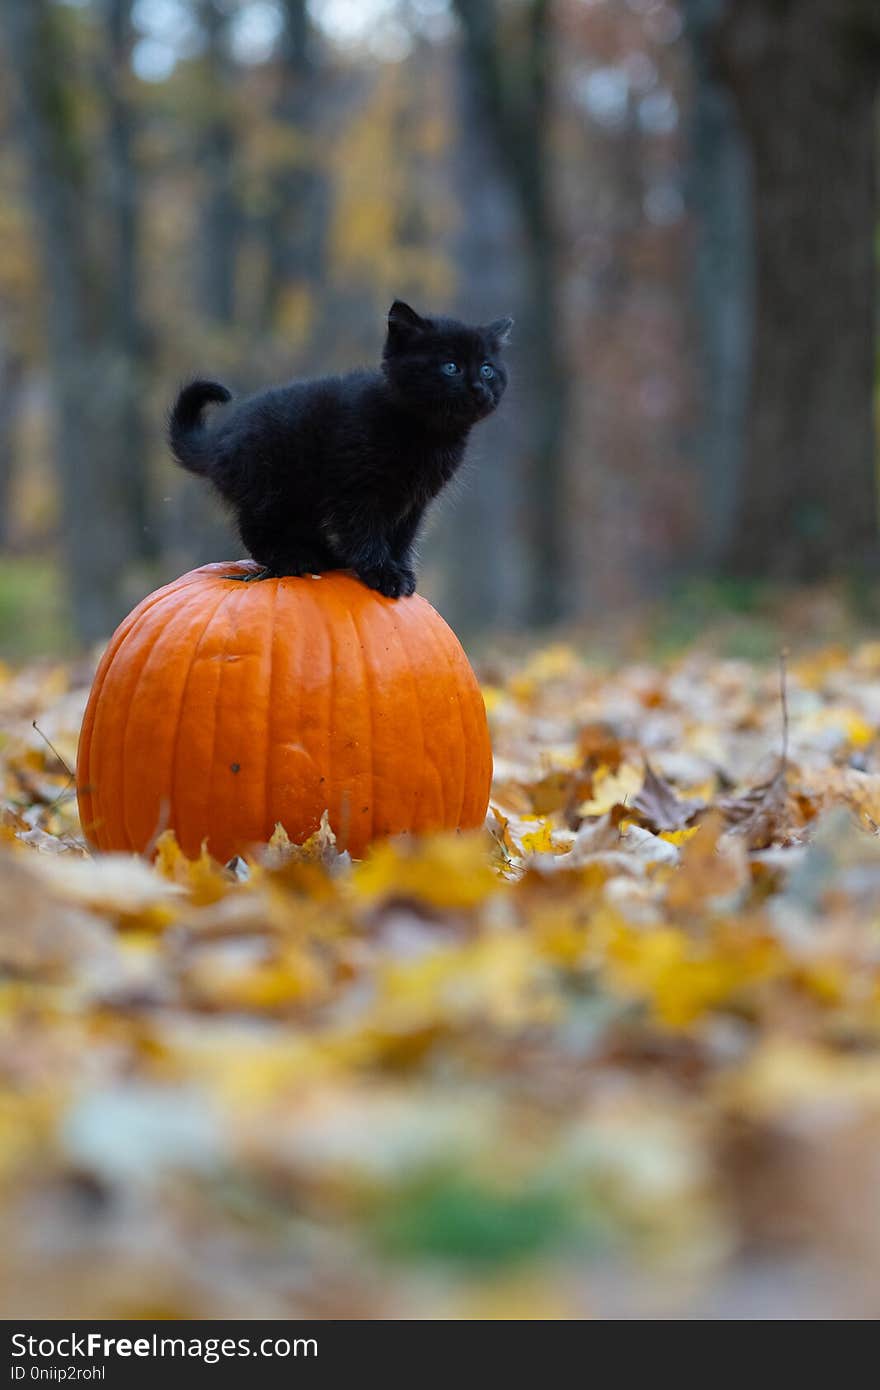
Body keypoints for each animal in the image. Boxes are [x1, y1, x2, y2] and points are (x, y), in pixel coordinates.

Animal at [168, 301, 511, 594]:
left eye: (487, 369)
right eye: (450, 367)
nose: (478, 388)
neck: (428, 433)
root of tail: (218, 439)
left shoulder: (415, 501)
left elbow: (402, 537)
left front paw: (400, 569)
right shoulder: (357, 488)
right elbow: (365, 532)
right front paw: (384, 574)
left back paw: (326, 556)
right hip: (268, 486)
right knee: (257, 532)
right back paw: (294, 559)